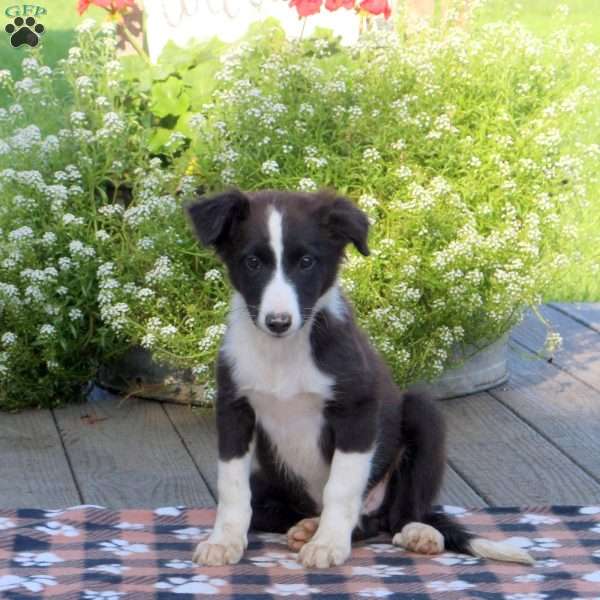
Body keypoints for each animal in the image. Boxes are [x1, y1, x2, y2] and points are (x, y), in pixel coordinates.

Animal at [185, 188, 532, 568]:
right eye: (252, 262)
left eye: (306, 262)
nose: (278, 322)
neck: (283, 353)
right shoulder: (234, 409)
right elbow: (232, 488)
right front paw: (224, 541)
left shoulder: (358, 410)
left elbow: (341, 486)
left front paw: (327, 544)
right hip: (271, 482)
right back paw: (307, 526)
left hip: (421, 416)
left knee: (392, 517)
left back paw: (413, 532)